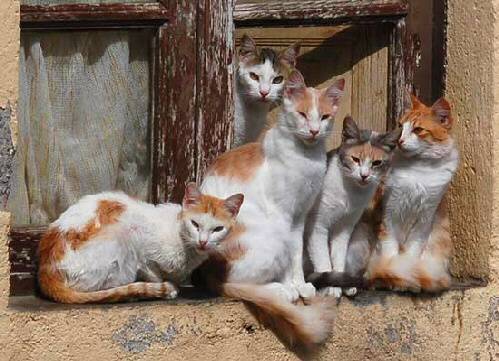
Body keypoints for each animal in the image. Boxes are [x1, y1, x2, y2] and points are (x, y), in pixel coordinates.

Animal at [37, 181, 244, 302]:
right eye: (195, 224)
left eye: (217, 229)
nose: (203, 241)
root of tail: (46, 269)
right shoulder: (142, 250)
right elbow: (153, 272)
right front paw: (164, 286)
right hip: (123, 235)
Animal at [193, 69, 346, 348]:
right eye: (303, 114)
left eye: (324, 117)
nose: (314, 131)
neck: (306, 158)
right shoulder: (282, 215)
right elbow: (288, 257)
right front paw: (291, 285)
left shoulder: (299, 216)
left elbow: (296, 252)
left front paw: (300, 283)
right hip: (268, 235)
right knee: (237, 283)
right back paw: (280, 290)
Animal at [306, 116, 400, 296]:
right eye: (355, 159)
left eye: (377, 163)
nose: (364, 175)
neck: (350, 192)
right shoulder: (317, 226)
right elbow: (323, 259)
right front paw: (330, 288)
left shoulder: (345, 227)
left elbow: (338, 256)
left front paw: (339, 282)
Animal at [366, 94, 458, 292]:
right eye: (400, 126)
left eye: (418, 129)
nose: (399, 141)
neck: (418, 170)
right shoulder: (389, 212)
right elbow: (389, 250)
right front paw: (391, 275)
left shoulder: (425, 218)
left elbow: (411, 253)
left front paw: (405, 277)